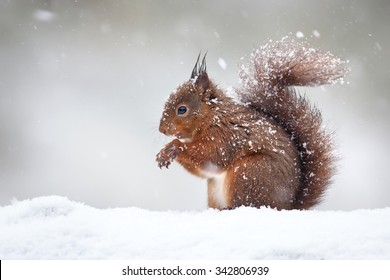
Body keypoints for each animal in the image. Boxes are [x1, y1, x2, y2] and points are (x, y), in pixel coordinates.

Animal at [155, 38, 348, 210]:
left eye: (182, 109)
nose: (161, 130)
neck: (213, 116)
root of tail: (287, 206)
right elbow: (203, 170)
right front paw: (164, 152)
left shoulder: (226, 135)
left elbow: (211, 156)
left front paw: (175, 146)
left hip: (249, 172)